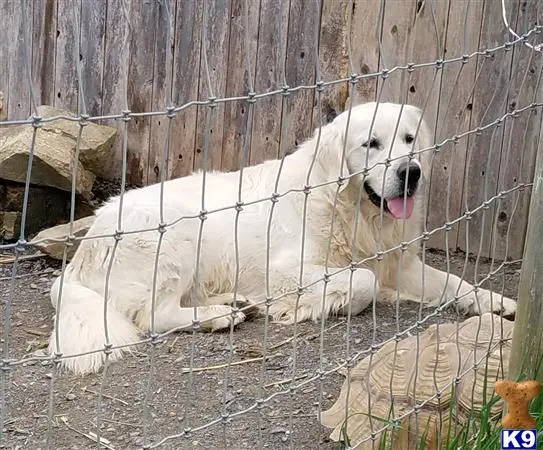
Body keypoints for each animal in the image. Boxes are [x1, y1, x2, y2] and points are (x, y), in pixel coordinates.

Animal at [49, 102, 516, 372]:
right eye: (371, 144)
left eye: (409, 139)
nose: (411, 172)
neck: (349, 208)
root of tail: (82, 253)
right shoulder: (284, 271)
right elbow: (362, 281)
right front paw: (330, 304)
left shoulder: (398, 262)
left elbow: (455, 282)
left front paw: (496, 302)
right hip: (175, 233)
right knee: (153, 315)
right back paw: (218, 317)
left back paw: (234, 303)